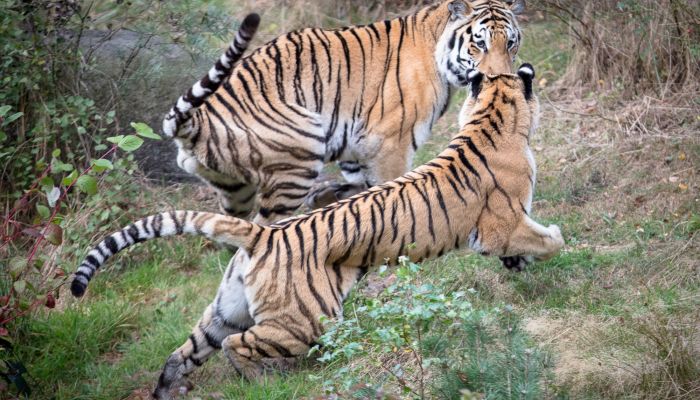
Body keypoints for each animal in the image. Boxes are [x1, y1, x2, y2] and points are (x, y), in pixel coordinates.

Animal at [71, 64, 564, 398]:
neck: (490, 116)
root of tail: (262, 235)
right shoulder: (503, 223)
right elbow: (546, 238)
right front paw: (549, 249)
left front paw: (519, 266)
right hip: (304, 320)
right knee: (237, 345)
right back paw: (261, 381)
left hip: (227, 308)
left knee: (185, 351)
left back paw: (167, 390)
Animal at [164, 0, 524, 225]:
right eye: (478, 43)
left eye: (510, 43)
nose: (499, 78)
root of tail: (198, 119)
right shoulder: (390, 143)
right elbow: (393, 193)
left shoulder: (356, 146)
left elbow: (362, 190)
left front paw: (331, 199)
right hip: (302, 150)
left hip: (235, 189)